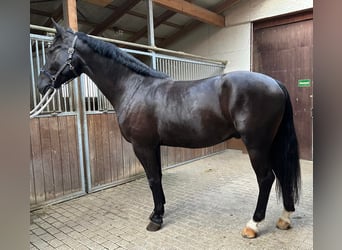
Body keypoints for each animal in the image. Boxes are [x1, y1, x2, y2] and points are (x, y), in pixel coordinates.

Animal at [36, 22, 300, 238]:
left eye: (51, 49)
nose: (41, 85)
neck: (133, 87)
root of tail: (275, 83)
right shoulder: (153, 146)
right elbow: (159, 178)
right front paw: (159, 211)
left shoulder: (142, 146)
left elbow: (152, 179)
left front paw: (155, 219)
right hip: (271, 144)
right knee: (282, 174)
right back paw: (284, 218)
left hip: (256, 145)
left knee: (266, 178)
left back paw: (253, 225)